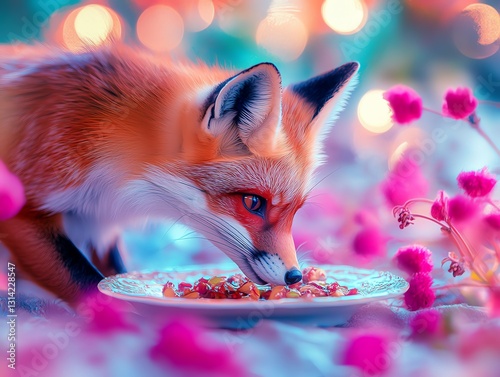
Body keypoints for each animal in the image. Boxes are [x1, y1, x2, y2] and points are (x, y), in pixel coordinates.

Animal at [0, 44, 360, 302]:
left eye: (296, 212)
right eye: (253, 203)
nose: (294, 278)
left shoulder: (98, 225)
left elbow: (114, 273)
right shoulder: (26, 213)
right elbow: (88, 284)